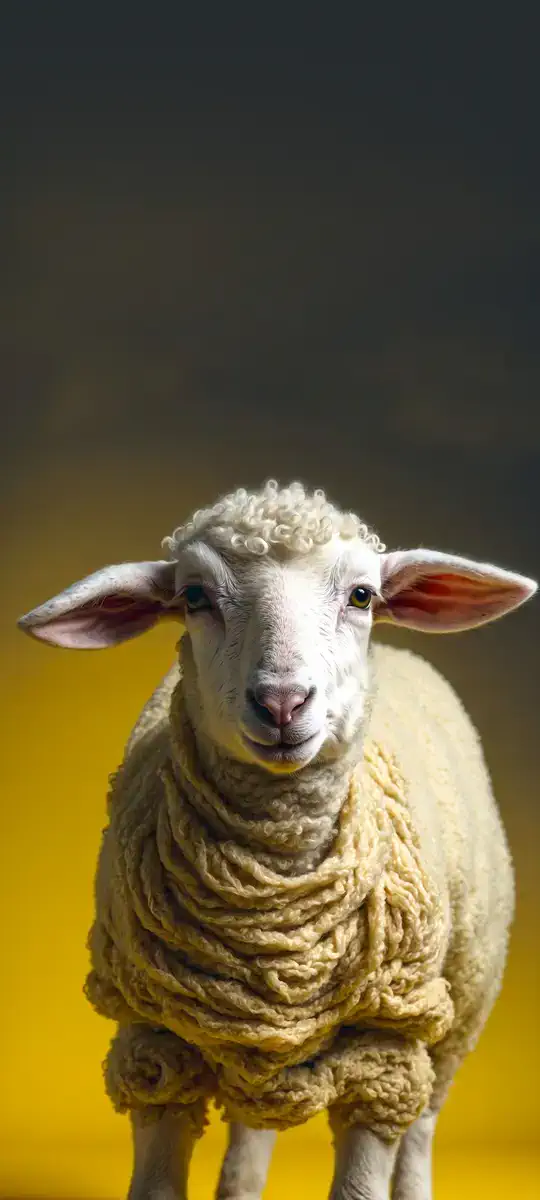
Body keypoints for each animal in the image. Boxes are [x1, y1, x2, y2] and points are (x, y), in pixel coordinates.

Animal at [17, 479, 536, 1200]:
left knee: (424, 1121)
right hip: (253, 1038)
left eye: (361, 596)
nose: (283, 703)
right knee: (251, 1126)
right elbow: (157, 1180)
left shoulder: (383, 1050)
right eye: (195, 597)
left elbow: (363, 1180)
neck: (274, 894)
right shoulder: (155, 1040)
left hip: (461, 997)